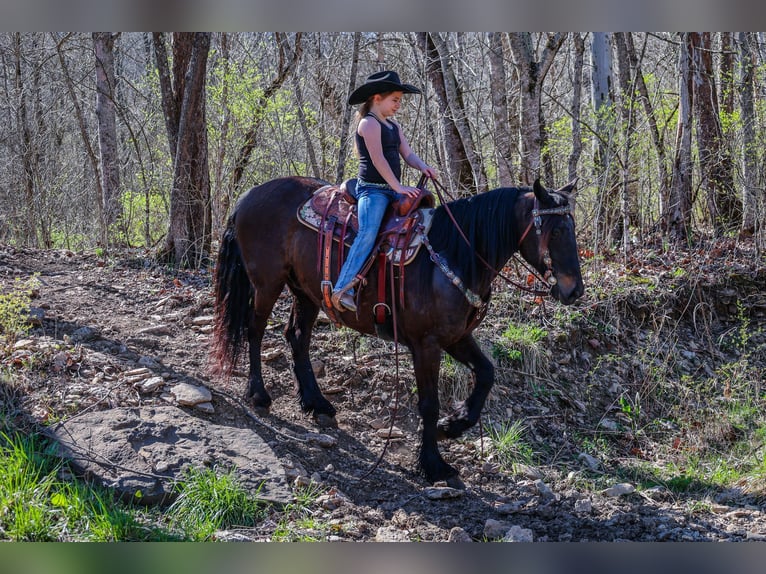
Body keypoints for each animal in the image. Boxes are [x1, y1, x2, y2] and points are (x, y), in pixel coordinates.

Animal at [210, 177, 584, 490]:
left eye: (572, 228)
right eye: (554, 230)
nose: (575, 291)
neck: (454, 256)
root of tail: (249, 196)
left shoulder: (456, 337)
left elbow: (487, 373)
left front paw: (454, 424)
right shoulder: (427, 344)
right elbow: (429, 403)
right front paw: (433, 464)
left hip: (306, 292)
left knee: (297, 337)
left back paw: (316, 403)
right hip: (267, 283)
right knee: (255, 331)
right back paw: (259, 394)